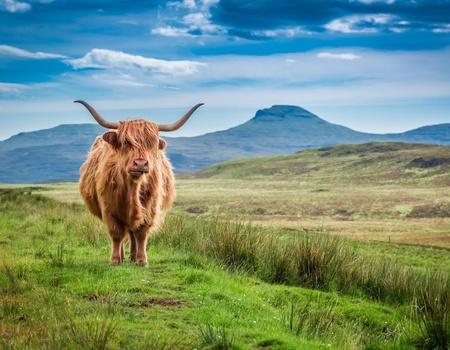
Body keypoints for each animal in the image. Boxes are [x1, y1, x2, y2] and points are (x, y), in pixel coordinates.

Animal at [76, 100, 203, 266]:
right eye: (126, 142)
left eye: (152, 143)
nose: (141, 164)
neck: (132, 189)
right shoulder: (108, 207)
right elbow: (117, 234)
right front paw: (115, 260)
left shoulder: (150, 208)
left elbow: (141, 233)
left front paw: (142, 260)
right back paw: (123, 256)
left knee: (132, 233)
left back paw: (133, 256)